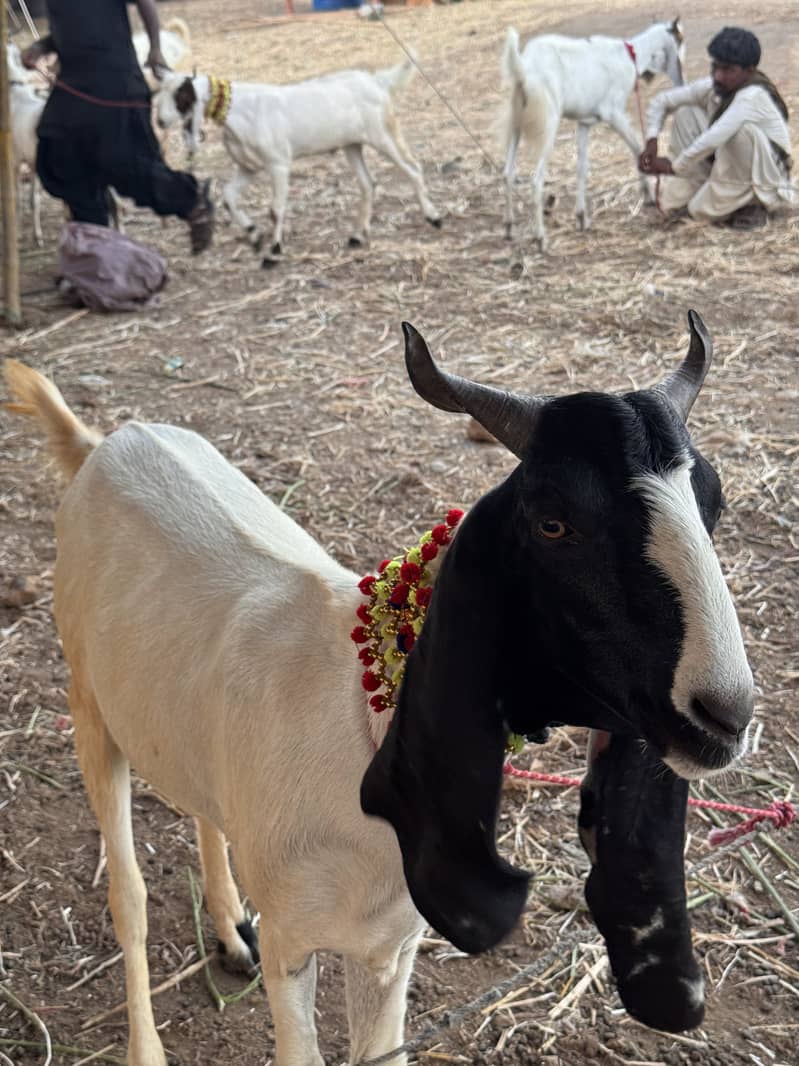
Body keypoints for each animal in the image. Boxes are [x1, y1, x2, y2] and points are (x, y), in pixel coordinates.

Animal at [5, 310, 753, 1063]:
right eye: (553, 522)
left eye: (713, 503)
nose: (724, 715)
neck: (358, 733)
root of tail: (107, 442)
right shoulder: (292, 942)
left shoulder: (389, 946)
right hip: (88, 703)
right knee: (126, 896)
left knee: (199, 804)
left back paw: (229, 928)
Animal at [154, 57, 442, 265]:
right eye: (160, 94)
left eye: (181, 96)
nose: (160, 121)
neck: (240, 109)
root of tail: (377, 81)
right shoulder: (248, 166)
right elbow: (228, 197)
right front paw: (254, 235)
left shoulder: (278, 163)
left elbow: (275, 209)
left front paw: (273, 251)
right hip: (352, 145)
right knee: (367, 184)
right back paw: (358, 236)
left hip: (382, 133)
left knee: (413, 168)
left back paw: (434, 217)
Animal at [501, 17, 685, 249]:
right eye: (680, 40)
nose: (682, 80)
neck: (631, 55)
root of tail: (523, 70)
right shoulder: (613, 113)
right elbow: (637, 147)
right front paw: (650, 194)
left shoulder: (584, 123)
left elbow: (582, 167)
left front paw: (581, 217)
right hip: (548, 123)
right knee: (536, 180)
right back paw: (540, 238)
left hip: (515, 123)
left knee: (507, 173)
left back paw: (509, 227)